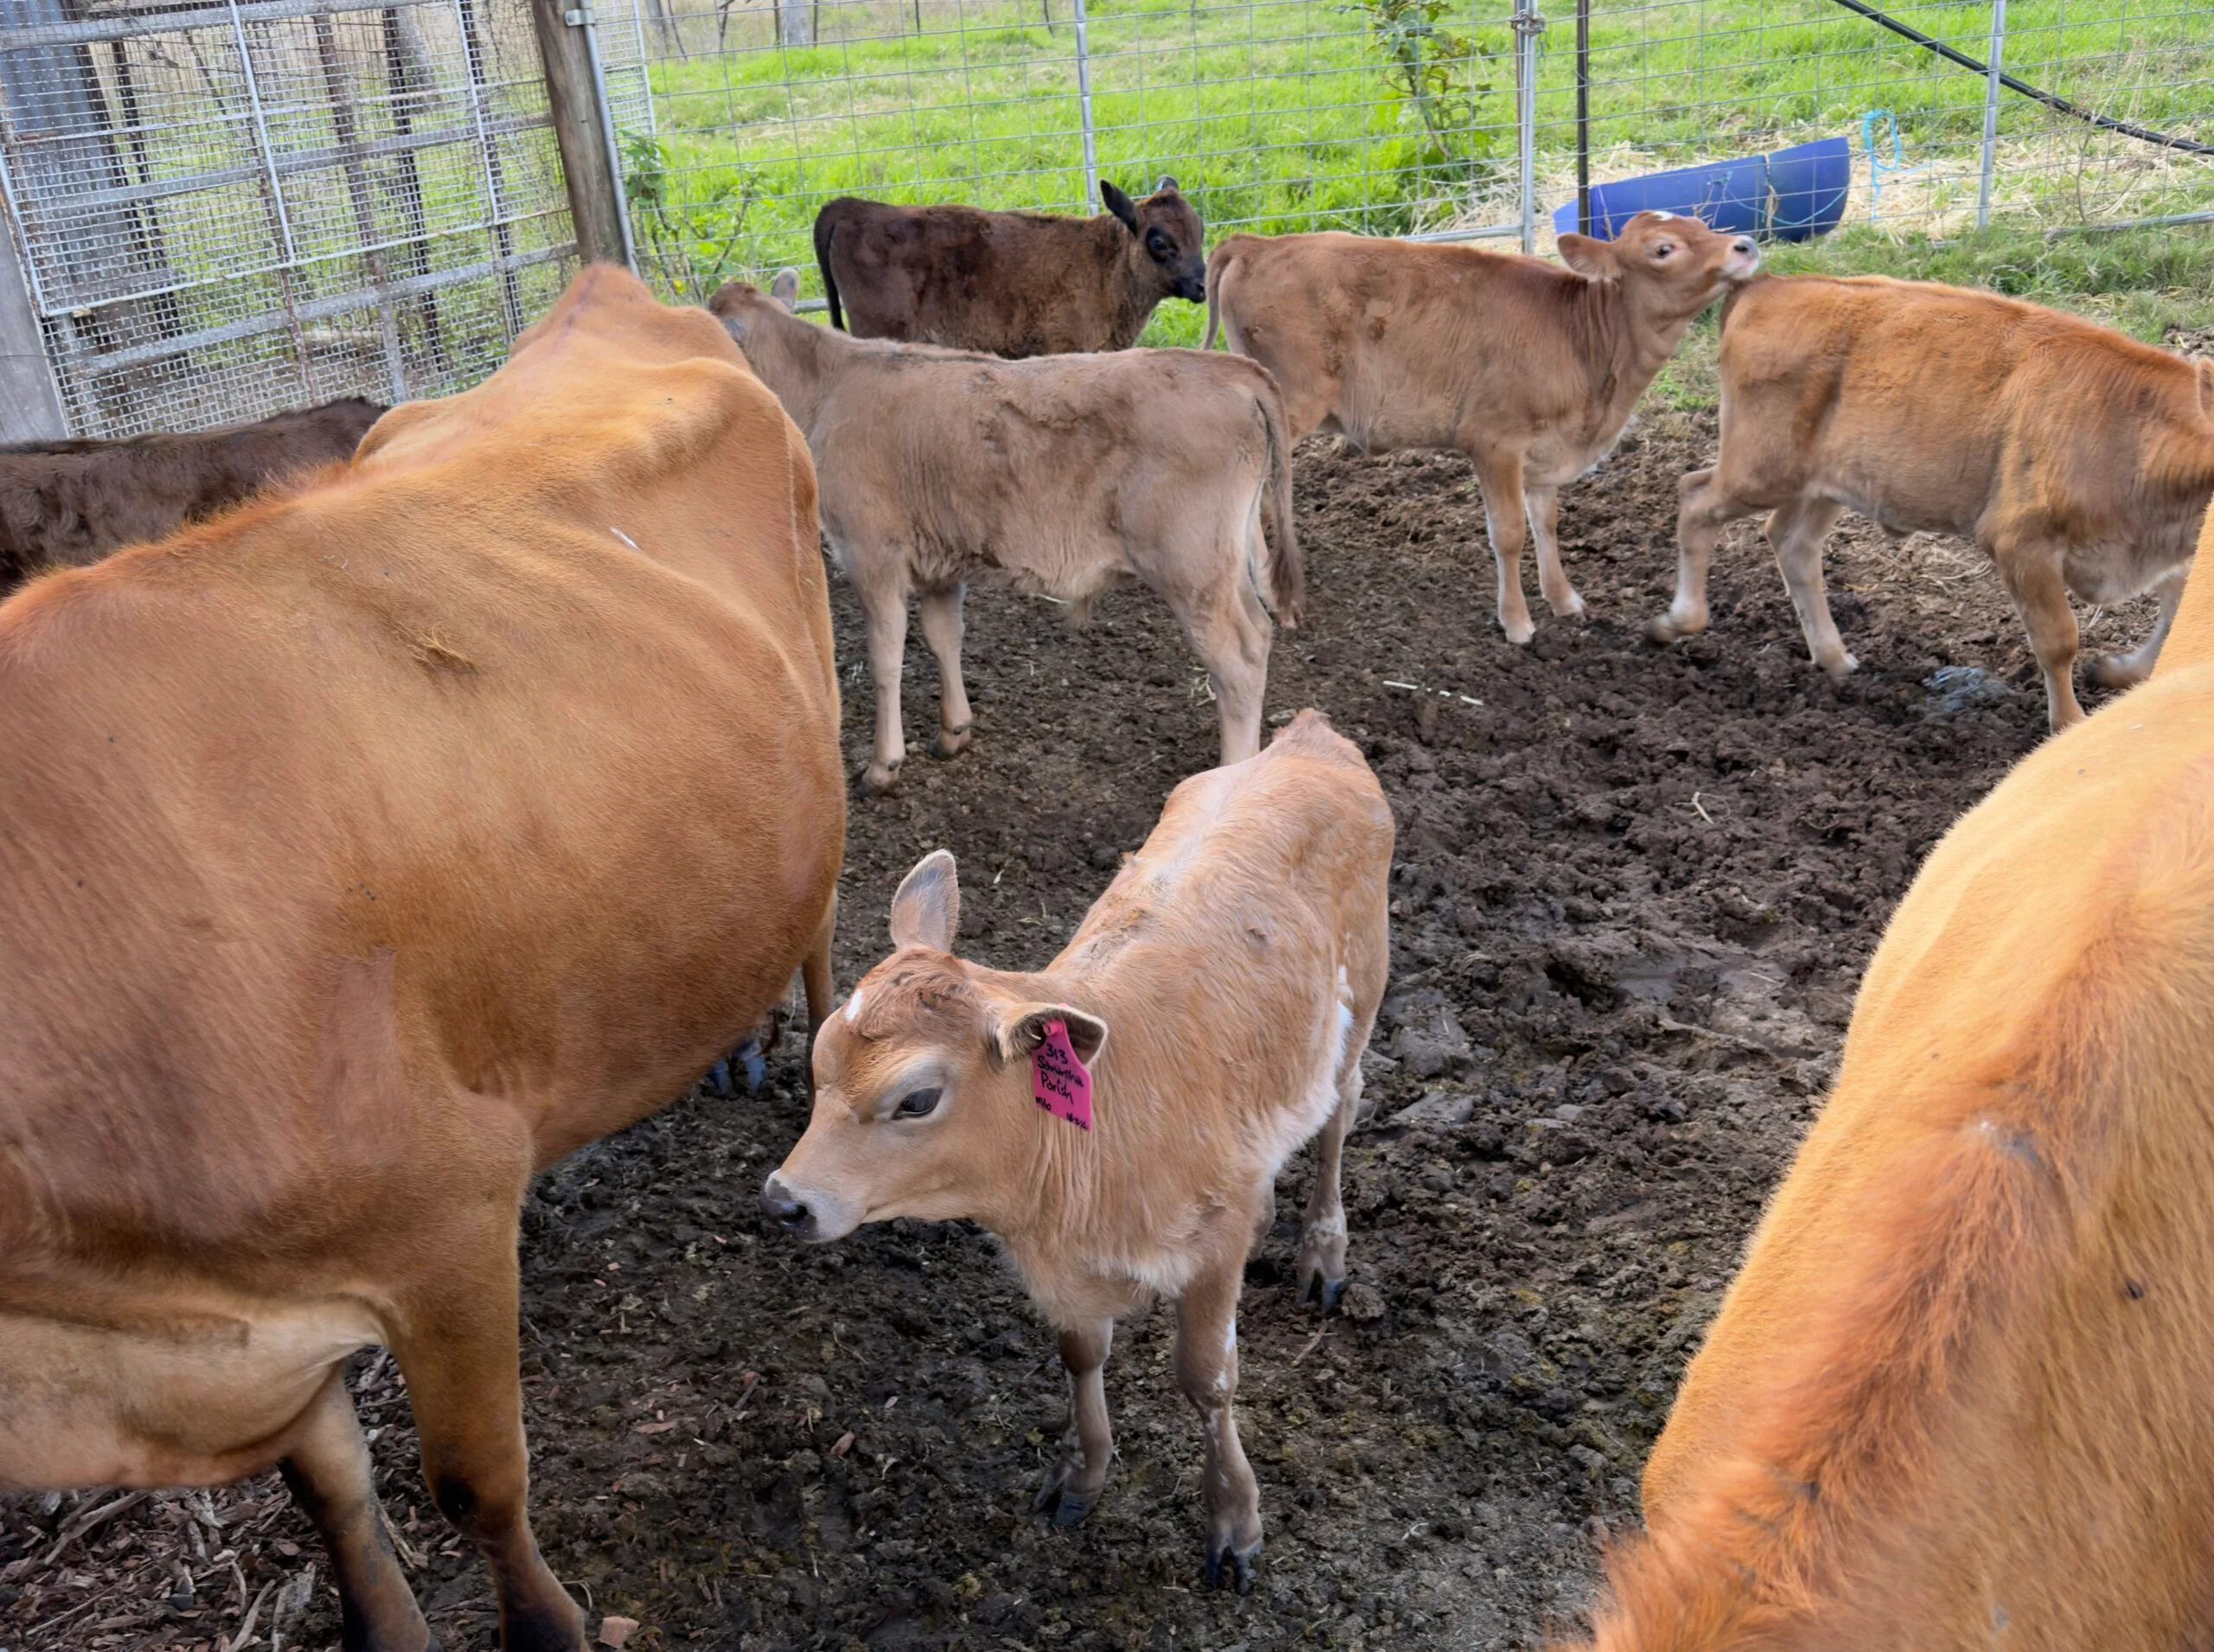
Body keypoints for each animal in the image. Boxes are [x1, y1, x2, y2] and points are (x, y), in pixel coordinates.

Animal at [711, 270, 1302, 793]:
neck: (826, 384)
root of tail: (1230, 368)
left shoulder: (871, 552)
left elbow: (885, 656)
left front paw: (882, 766)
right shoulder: (939, 560)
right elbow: (943, 637)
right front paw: (953, 731)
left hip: (1193, 570)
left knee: (1239, 660)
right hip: (1233, 555)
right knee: (1260, 631)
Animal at [761, 709, 1392, 1590]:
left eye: (916, 1099)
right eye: (818, 1058)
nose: (784, 1200)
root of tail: (1309, 738)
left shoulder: (1213, 1243)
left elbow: (1208, 1377)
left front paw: (1234, 1519)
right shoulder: (1067, 1271)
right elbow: (1080, 1353)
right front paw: (1081, 1473)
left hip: (1362, 996)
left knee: (1339, 1116)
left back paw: (1323, 1251)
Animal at [1203, 211, 1759, 645]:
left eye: (1701, 225)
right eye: (1663, 248)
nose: (1746, 245)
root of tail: (1256, 243)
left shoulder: (1545, 453)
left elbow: (1546, 523)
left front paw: (1564, 600)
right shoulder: (1493, 442)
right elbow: (1509, 532)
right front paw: (1517, 622)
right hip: (1286, 409)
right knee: (1258, 495)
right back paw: (1274, 596)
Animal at [1646, 274, 2214, 734]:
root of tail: (1769, 284)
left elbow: (2176, 604)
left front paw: (2120, 672)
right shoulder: (2019, 541)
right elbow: (2059, 639)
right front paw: (2070, 727)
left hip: (1825, 485)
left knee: (1790, 542)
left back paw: (1834, 659)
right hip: (1761, 468)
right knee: (1695, 499)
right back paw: (1679, 621)